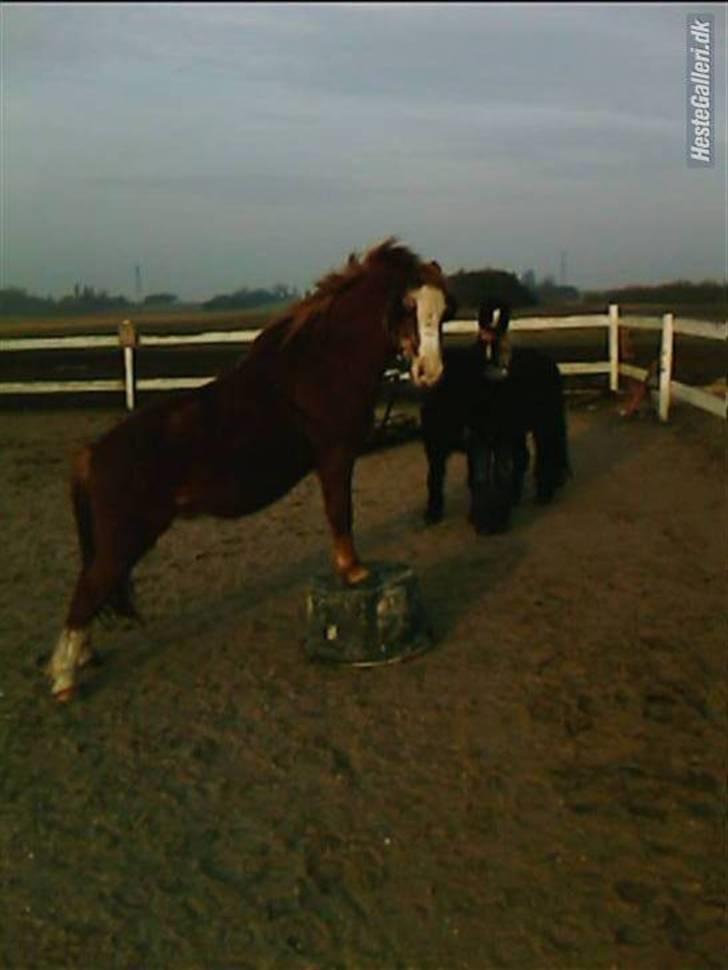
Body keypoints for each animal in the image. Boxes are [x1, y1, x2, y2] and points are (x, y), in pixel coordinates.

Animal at [47, 240, 450, 696]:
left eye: (444, 312)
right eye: (407, 307)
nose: (430, 372)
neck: (319, 367)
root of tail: (93, 453)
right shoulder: (335, 456)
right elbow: (340, 513)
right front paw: (353, 570)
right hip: (126, 538)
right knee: (87, 591)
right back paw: (64, 680)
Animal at [420, 300, 568, 532]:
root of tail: (548, 361)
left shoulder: (476, 441)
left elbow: (474, 479)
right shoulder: (435, 444)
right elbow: (434, 477)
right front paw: (433, 514)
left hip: (543, 423)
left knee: (546, 454)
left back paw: (544, 494)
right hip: (516, 430)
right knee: (523, 457)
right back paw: (515, 496)